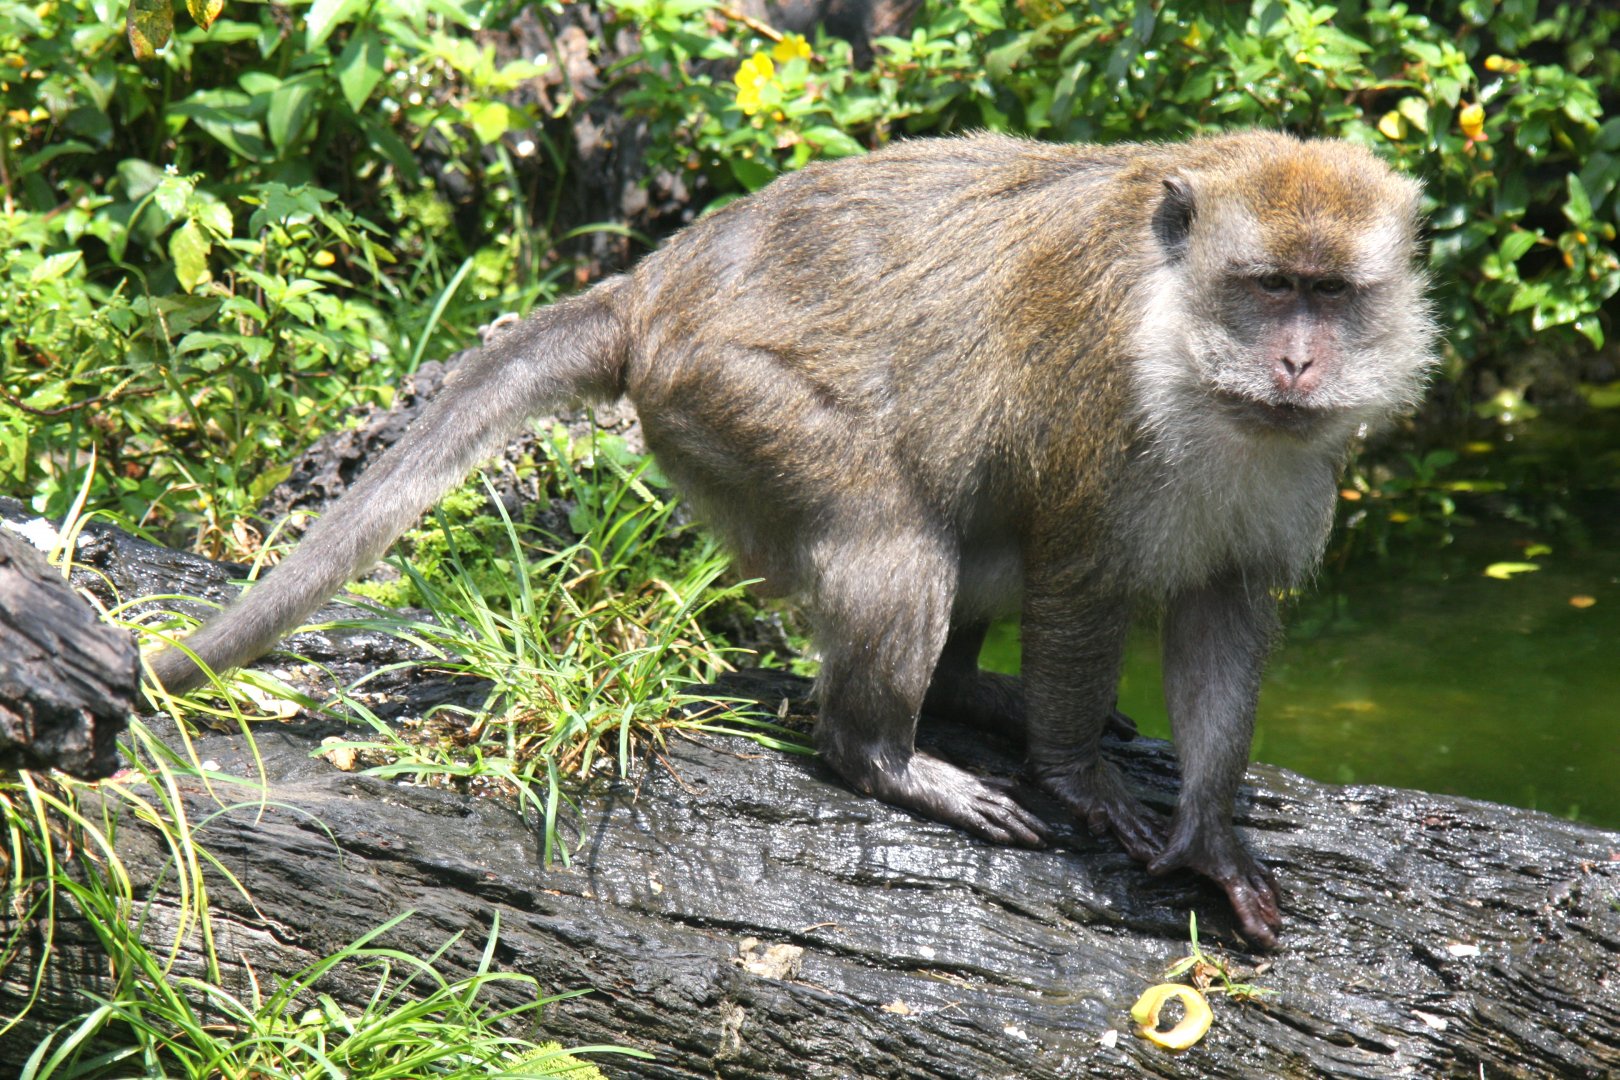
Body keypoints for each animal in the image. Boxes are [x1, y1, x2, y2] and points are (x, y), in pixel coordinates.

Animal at [148, 131, 1438, 948]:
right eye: (1269, 287)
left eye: (1331, 294)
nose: (1298, 361)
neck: (1194, 357)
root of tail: (656, 284)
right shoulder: (1101, 409)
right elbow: (1077, 577)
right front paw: (1080, 778)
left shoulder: (1291, 468)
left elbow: (1225, 610)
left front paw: (1210, 835)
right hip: (731, 395)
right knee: (893, 531)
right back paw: (885, 753)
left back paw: (966, 696)